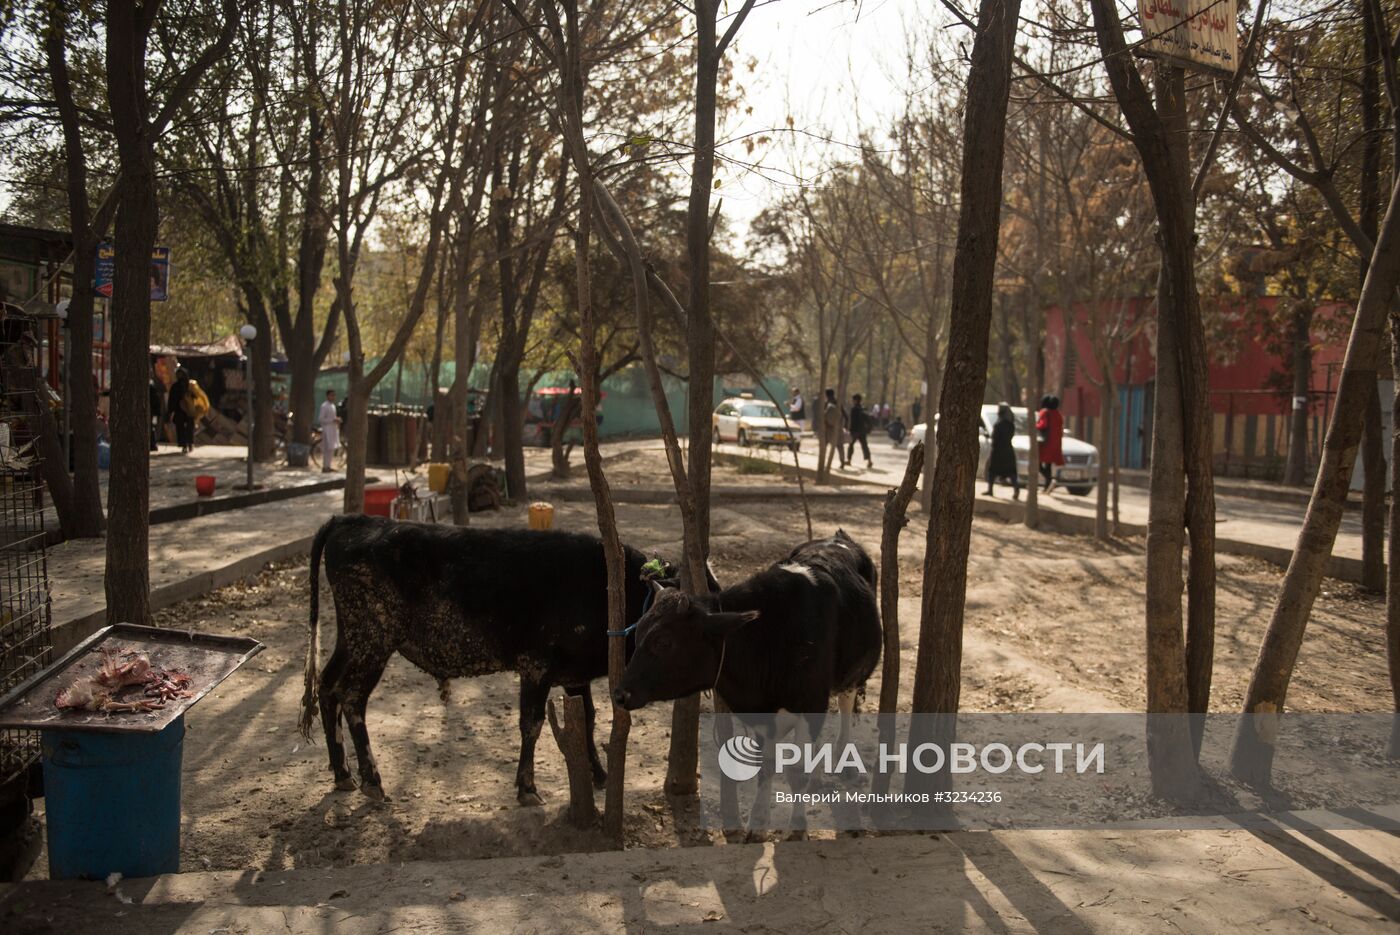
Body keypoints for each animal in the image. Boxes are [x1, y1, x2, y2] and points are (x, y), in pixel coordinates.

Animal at [301, 512, 677, 806]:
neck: (610, 586)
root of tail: (353, 519)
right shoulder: (536, 667)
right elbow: (532, 724)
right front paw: (527, 788)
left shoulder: (574, 675)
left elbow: (587, 720)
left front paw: (598, 774)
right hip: (372, 641)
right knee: (351, 697)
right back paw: (372, 781)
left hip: (352, 639)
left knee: (327, 687)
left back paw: (342, 774)